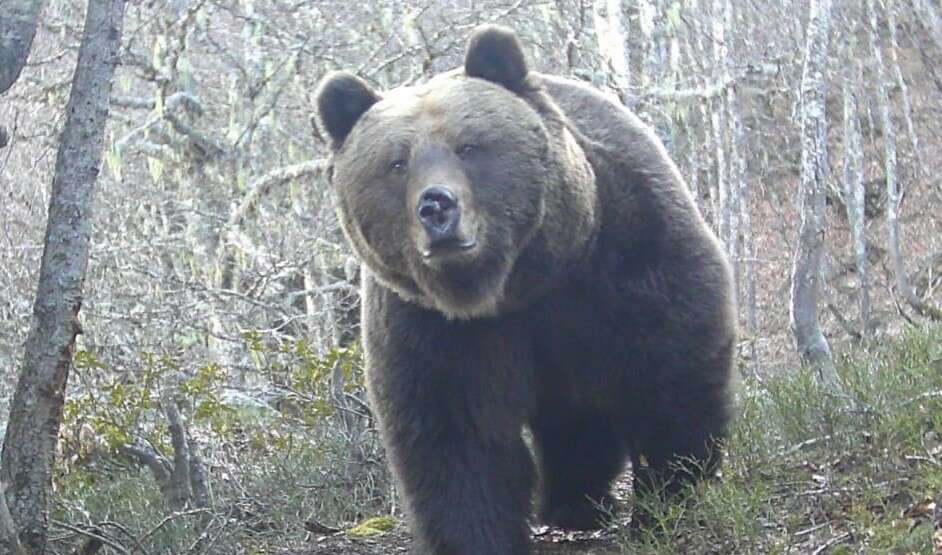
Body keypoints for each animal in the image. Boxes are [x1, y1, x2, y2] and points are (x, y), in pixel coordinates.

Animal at [318, 25, 736, 555]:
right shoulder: (433, 326)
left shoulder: (624, 259)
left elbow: (669, 372)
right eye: (396, 164)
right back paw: (574, 503)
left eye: (469, 146)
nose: (436, 206)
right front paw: (478, 537)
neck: (515, 285)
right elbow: (457, 434)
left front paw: (668, 500)